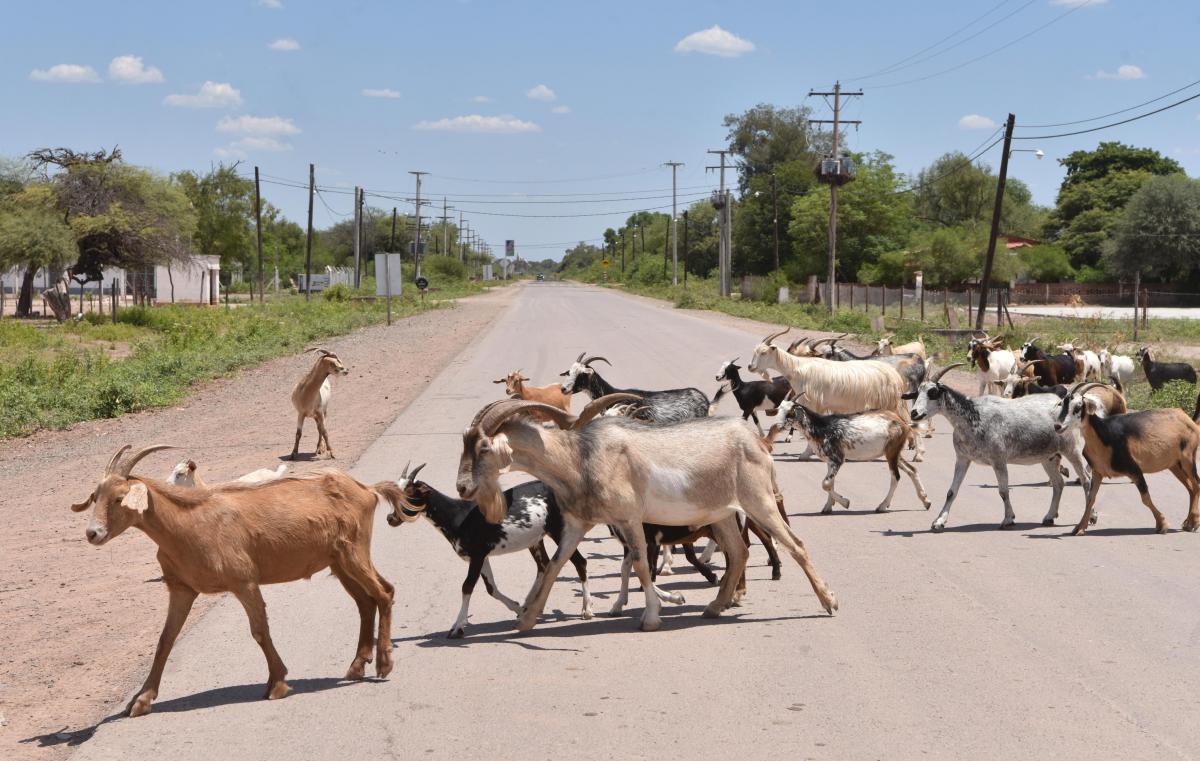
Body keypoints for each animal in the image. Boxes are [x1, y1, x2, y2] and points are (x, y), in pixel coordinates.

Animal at [70, 441, 420, 715]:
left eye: (119, 498)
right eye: (95, 496)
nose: (93, 533)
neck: (188, 526)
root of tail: (367, 490)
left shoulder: (244, 582)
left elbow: (259, 631)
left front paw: (278, 683)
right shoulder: (181, 589)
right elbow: (165, 640)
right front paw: (141, 700)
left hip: (354, 553)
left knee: (384, 592)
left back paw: (383, 664)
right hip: (339, 562)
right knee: (366, 602)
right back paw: (357, 665)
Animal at [384, 458, 590, 638]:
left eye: (409, 495)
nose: (390, 518)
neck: (457, 515)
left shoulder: (477, 554)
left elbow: (467, 586)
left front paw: (457, 628)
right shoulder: (481, 556)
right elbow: (491, 588)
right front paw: (517, 607)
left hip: (559, 529)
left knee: (579, 561)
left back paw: (586, 610)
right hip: (535, 539)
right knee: (544, 566)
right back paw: (530, 606)